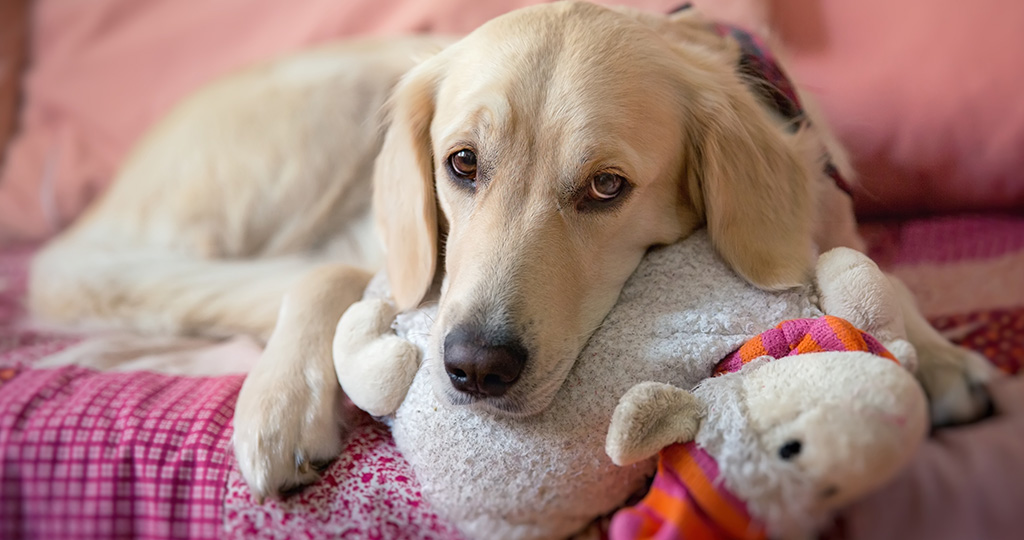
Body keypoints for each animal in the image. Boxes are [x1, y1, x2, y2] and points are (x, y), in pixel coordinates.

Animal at [29, 1, 991, 502]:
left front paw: (937, 357)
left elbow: (867, 274)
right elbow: (337, 274)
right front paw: (279, 407)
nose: (474, 368)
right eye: (461, 164)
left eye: (605, 187)